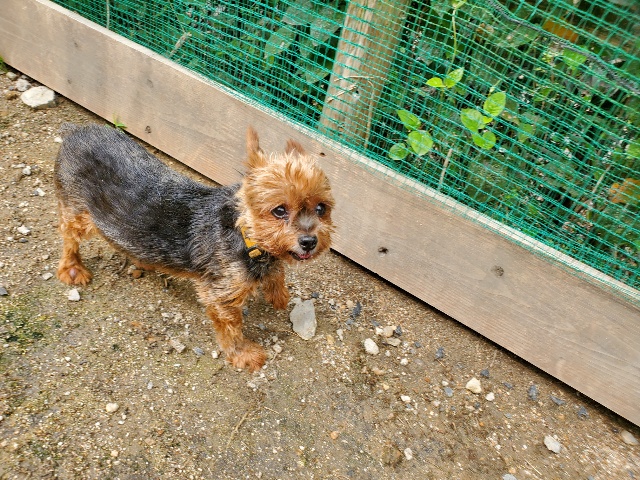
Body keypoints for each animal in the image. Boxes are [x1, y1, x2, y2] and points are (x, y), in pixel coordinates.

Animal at [54, 124, 334, 371]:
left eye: (321, 208)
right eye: (279, 210)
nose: (309, 241)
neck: (245, 234)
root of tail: (75, 131)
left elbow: (277, 273)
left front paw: (278, 293)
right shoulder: (221, 294)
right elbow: (232, 326)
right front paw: (242, 354)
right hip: (80, 215)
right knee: (68, 234)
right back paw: (72, 268)